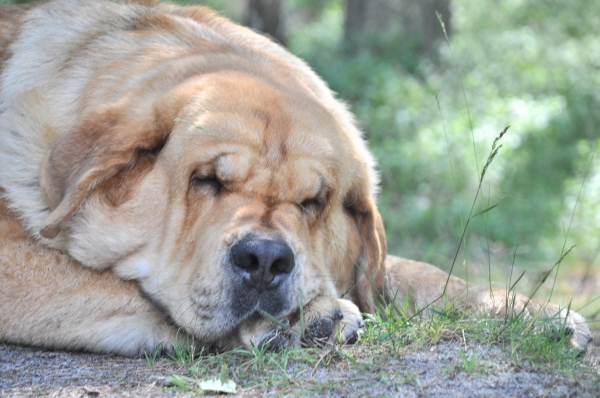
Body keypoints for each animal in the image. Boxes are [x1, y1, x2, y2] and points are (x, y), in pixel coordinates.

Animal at [0, 0, 592, 354]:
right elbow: (123, 290)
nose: (264, 259)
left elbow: (421, 274)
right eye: (206, 180)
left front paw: (532, 314)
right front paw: (309, 317)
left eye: (314, 202)